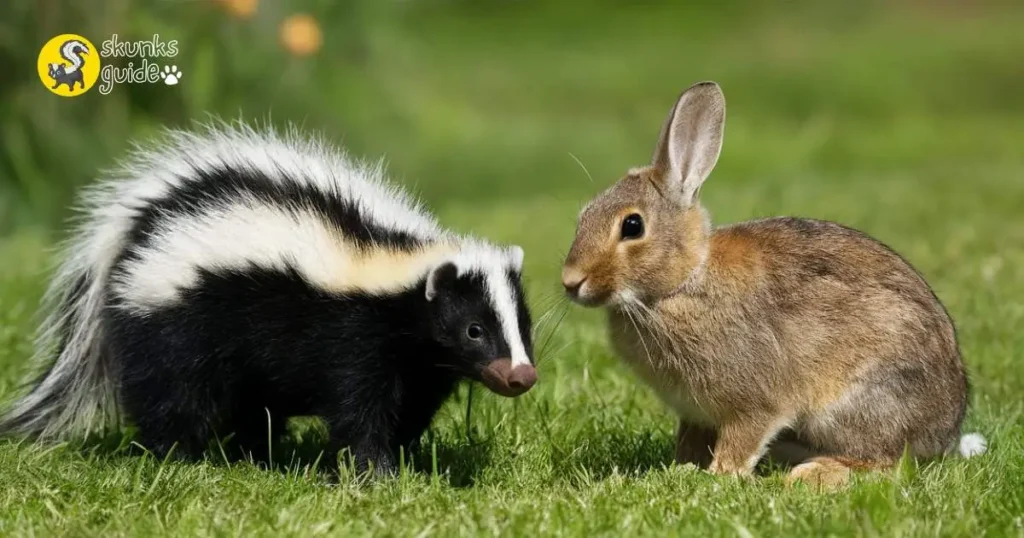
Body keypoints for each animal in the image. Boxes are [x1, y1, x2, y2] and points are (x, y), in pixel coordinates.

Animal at [0, 122, 540, 469]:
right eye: (473, 330)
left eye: (524, 328)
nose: (521, 375)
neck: (393, 266)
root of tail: (145, 224)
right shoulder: (354, 340)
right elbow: (358, 410)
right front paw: (374, 470)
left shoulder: (420, 363)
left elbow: (410, 407)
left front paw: (406, 459)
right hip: (176, 320)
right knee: (172, 395)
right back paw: (182, 460)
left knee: (249, 406)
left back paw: (254, 455)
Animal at [565, 80, 978, 485]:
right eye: (583, 216)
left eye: (633, 226)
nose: (571, 281)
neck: (681, 284)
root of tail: (944, 431)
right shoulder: (695, 413)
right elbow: (691, 439)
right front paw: (683, 469)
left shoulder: (755, 400)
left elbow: (746, 433)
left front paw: (720, 475)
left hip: (857, 402)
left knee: (886, 461)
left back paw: (812, 474)